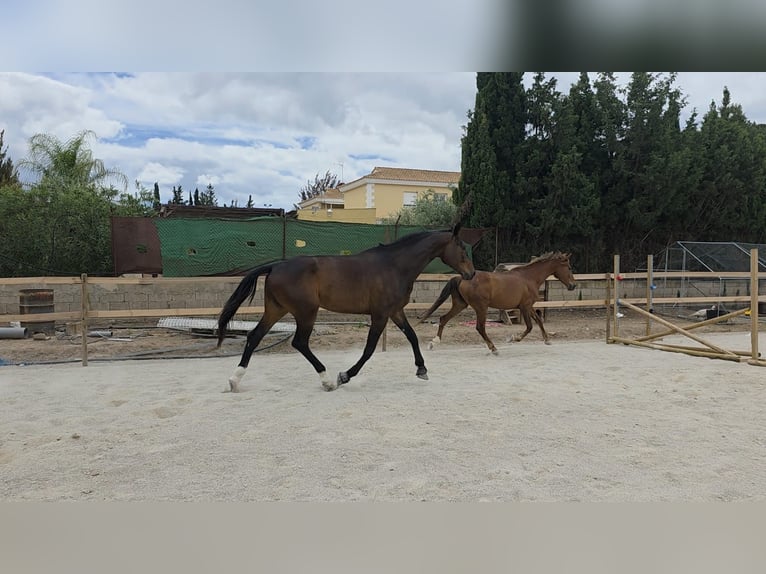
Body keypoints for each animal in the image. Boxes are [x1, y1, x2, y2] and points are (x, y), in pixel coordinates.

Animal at [217, 224, 475, 392]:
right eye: (462, 250)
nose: (471, 274)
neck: (394, 266)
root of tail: (275, 266)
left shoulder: (395, 312)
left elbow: (412, 336)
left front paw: (421, 369)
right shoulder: (380, 315)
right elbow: (369, 349)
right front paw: (345, 376)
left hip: (277, 309)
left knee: (255, 336)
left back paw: (234, 380)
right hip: (306, 312)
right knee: (299, 342)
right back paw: (328, 381)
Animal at [416, 251, 576, 354]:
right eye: (569, 267)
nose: (573, 286)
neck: (529, 278)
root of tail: (461, 277)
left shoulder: (529, 306)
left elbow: (538, 320)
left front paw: (547, 340)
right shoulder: (525, 307)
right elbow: (530, 326)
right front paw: (513, 338)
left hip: (460, 305)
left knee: (443, 319)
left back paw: (433, 343)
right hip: (481, 307)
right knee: (480, 327)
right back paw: (493, 348)